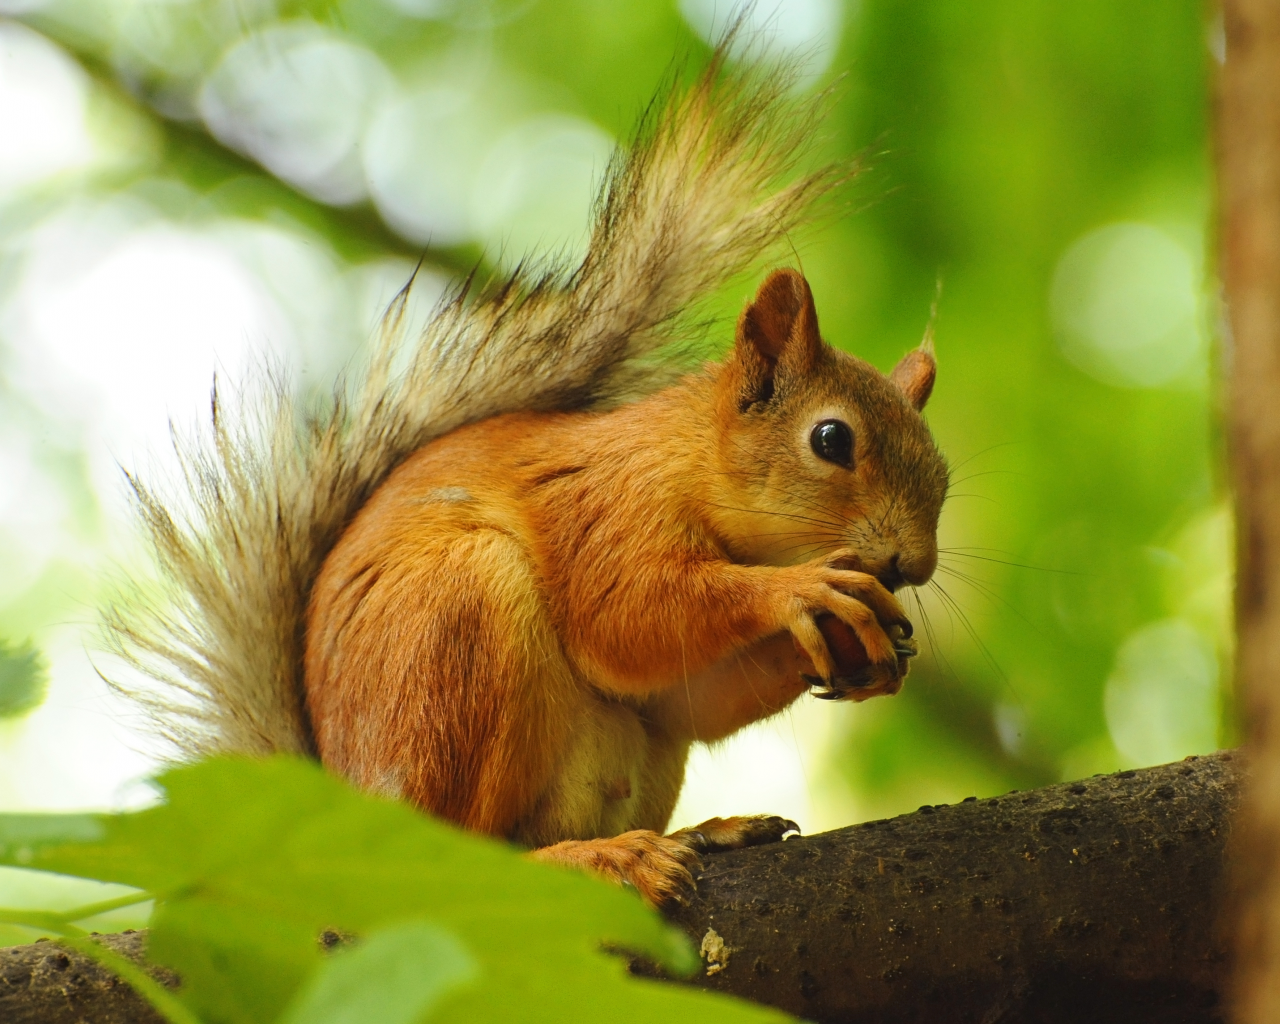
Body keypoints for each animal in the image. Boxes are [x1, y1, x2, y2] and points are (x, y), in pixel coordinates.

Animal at [107, 51, 952, 906]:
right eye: (831, 439)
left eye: (943, 471)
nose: (915, 565)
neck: (686, 460)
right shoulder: (603, 508)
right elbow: (628, 615)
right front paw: (802, 591)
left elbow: (689, 698)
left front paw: (865, 648)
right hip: (458, 633)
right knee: (463, 857)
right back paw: (602, 858)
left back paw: (702, 833)